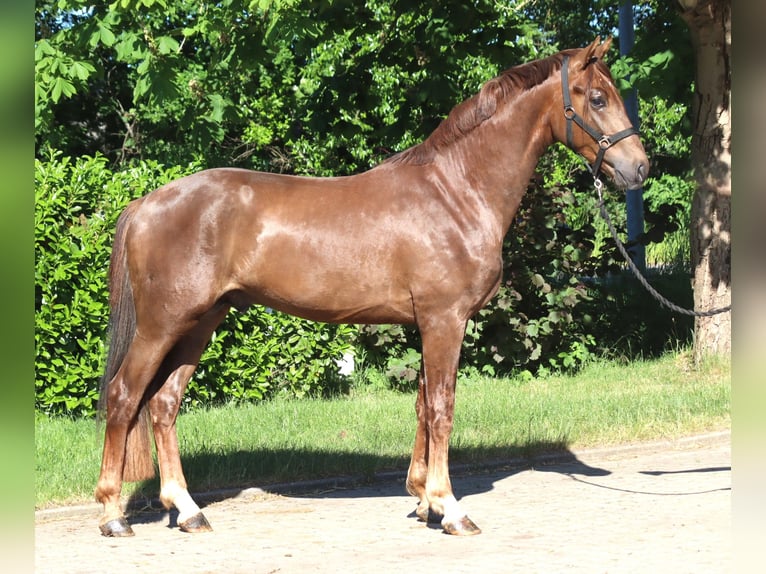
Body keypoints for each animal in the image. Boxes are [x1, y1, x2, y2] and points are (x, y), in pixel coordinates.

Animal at [95, 37, 649, 538]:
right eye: (597, 98)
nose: (640, 167)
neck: (456, 192)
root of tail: (145, 202)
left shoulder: (426, 324)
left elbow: (424, 405)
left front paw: (424, 501)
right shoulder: (444, 320)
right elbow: (443, 407)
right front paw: (451, 509)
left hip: (201, 322)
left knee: (163, 404)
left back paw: (188, 511)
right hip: (162, 325)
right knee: (124, 397)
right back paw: (112, 515)